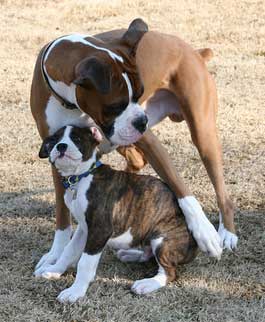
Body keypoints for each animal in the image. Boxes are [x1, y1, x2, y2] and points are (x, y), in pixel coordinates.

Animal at [29, 18, 236, 274]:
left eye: (139, 94)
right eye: (115, 105)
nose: (142, 120)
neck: (70, 103)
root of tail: (194, 51)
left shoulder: (149, 141)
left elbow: (181, 188)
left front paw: (205, 233)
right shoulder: (55, 157)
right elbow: (62, 217)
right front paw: (55, 255)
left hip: (202, 134)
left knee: (221, 191)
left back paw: (227, 233)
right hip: (124, 140)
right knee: (136, 161)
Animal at [34, 125, 196, 302]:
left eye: (76, 138)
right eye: (54, 140)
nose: (61, 146)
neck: (82, 177)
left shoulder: (99, 230)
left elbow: (85, 263)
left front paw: (75, 291)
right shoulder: (84, 229)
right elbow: (69, 250)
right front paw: (54, 270)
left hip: (162, 239)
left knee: (169, 272)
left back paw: (147, 284)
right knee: (149, 254)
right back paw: (130, 255)